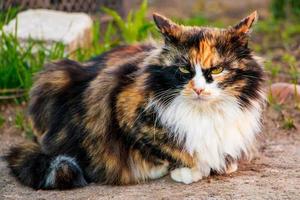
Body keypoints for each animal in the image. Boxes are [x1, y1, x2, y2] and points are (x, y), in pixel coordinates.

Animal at [5, 10, 264, 189]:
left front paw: (225, 162)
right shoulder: (125, 111)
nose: (199, 90)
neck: (204, 114)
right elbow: (166, 150)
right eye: (184, 70)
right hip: (52, 76)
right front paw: (186, 170)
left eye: (218, 70)